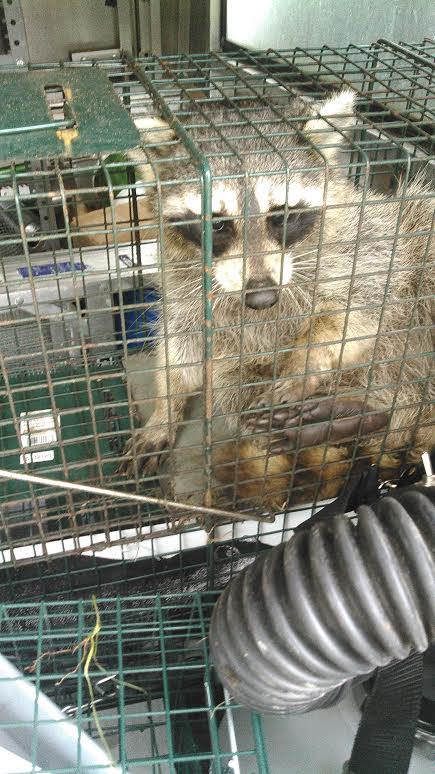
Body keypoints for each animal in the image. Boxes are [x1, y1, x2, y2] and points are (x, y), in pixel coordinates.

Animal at [122, 91, 435, 516]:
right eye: (218, 224)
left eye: (281, 216)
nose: (261, 296)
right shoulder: (185, 289)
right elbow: (182, 353)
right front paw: (164, 409)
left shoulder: (367, 250)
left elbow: (356, 313)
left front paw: (303, 363)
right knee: (232, 390)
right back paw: (341, 418)